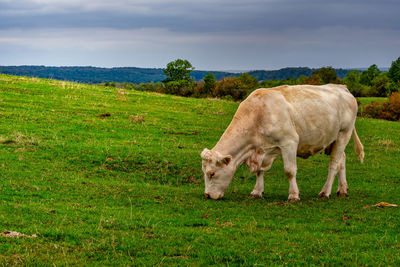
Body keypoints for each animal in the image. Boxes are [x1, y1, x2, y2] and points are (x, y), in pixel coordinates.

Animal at [202, 85, 364, 202]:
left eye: (212, 173)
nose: (207, 195)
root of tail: (341, 87)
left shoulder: (289, 142)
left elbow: (289, 171)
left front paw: (293, 195)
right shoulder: (261, 150)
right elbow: (259, 171)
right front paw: (256, 192)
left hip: (344, 133)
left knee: (334, 164)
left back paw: (325, 192)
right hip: (334, 140)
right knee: (342, 160)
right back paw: (342, 190)